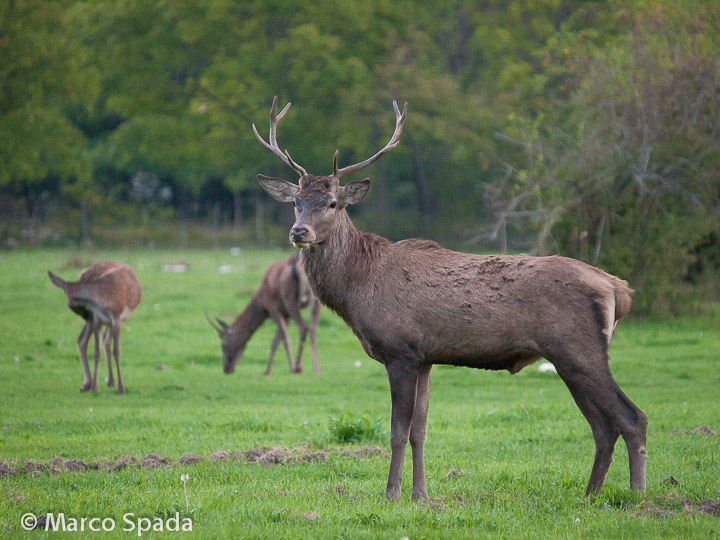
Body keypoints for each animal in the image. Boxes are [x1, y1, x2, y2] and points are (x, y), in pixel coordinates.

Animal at [48, 262, 142, 394]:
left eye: (72, 303)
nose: (84, 315)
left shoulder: (116, 318)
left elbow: (117, 351)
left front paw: (121, 388)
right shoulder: (97, 319)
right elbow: (97, 352)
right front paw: (94, 388)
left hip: (105, 322)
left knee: (101, 341)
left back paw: (108, 382)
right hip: (96, 321)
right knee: (85, 340)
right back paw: (90, 383)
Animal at [252, 95, 648, 500]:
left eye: (332, 202)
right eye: (296, 201)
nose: (299, 232)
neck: (359, 287)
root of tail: (617, 287)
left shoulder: (401, 350)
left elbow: (397, 432)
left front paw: (392, 494)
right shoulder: (426, 358)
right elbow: (420, 432)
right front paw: (421, 495)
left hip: (579, 348)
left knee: (632, 417)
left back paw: (635, 495)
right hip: (569, 357)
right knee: (604, 427)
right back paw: (591, 494)